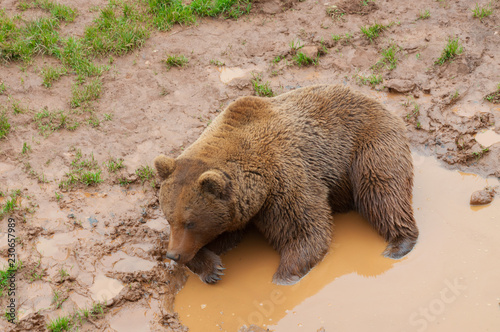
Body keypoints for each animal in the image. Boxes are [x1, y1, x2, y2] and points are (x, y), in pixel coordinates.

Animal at [155, 85, 418, 286]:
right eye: (170, 218)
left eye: (190, 222)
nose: (173, 254)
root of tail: (377, 103)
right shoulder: (240, 210)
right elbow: (225, 236)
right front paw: (211, 268)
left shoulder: (284, 179)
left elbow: (305, 230)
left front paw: (281, 278)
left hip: (369, 146)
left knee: (383, 192)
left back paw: (398, 244)